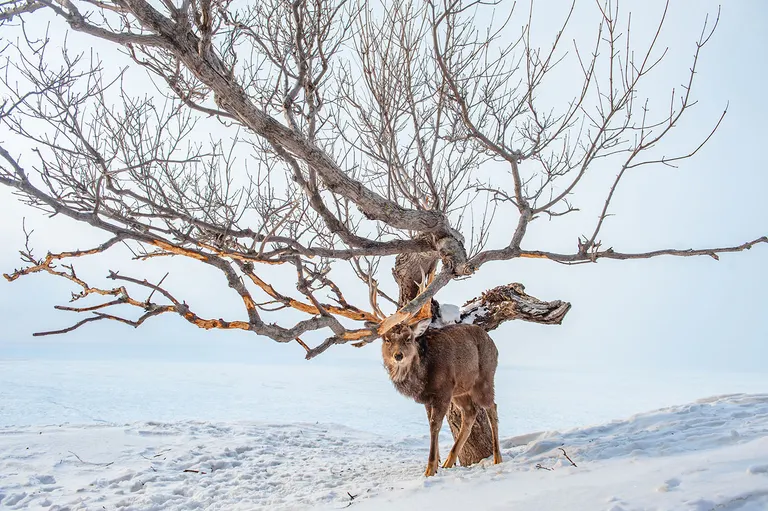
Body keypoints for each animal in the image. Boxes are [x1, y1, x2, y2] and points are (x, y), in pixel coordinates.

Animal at [380, 316, 503, 477]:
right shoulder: (427, 398)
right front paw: (437, 463)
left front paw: (430, 469)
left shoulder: (443, 392)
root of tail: (494, 345)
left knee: (492, 407)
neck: (422, 378)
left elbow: (435, 425)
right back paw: (448, 462)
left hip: (484, 379)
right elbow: (431, 423)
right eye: (387, 339)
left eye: (408, 338)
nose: (398, 355)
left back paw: (497, 458)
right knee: (470, 412)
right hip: (460, 390)